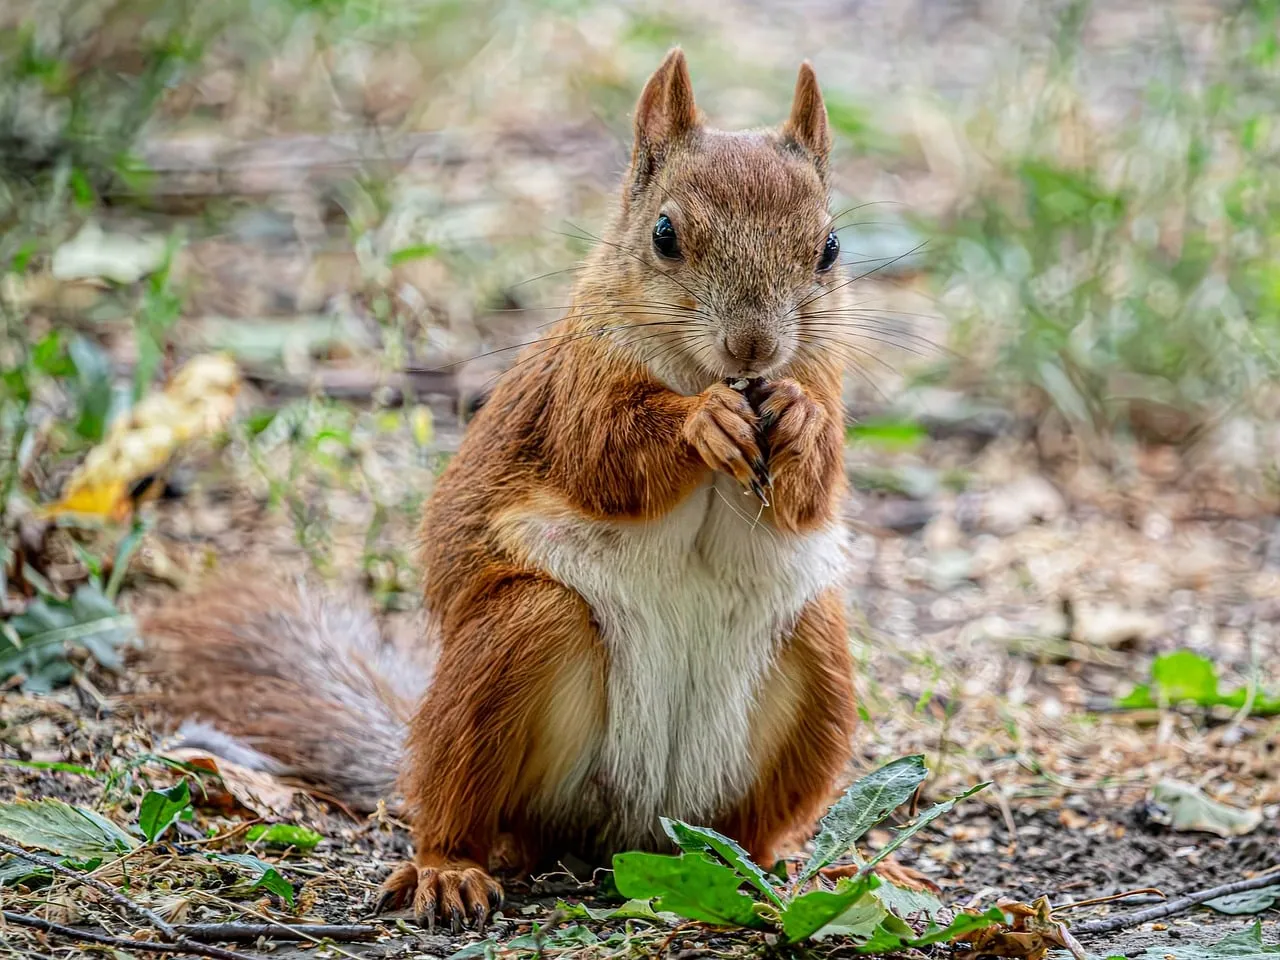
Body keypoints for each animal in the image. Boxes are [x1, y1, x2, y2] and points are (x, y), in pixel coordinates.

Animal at [144, 49, 898, 931]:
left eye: (831, 247)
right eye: (665, 236)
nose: (754, 347)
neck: (705, 370)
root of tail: (631, 828)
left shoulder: (823, 376)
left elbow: (813, 490)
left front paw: (800, 420)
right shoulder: (577, 388)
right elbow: (606, 457)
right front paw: (700, 421)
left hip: (816, 673)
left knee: (751, 822)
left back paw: (784, 869)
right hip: (516, 645)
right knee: (463, 798)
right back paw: (450, 868)